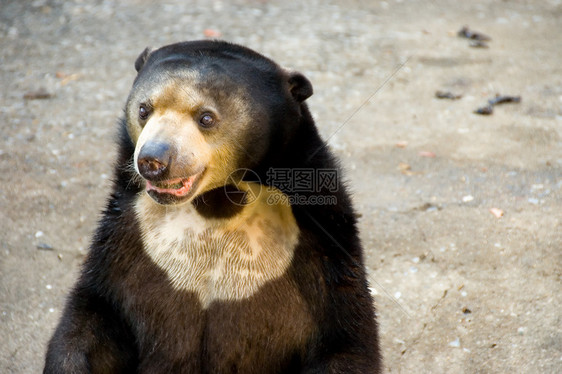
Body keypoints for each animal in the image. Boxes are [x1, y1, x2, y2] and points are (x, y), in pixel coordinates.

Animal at [43, 41, 380, 374]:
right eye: (143, 110)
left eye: (206, 117)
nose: (153, 161)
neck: (218, 203)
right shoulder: (128, 236)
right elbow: (94, 317)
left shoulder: (316, 245)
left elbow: (344, 338)